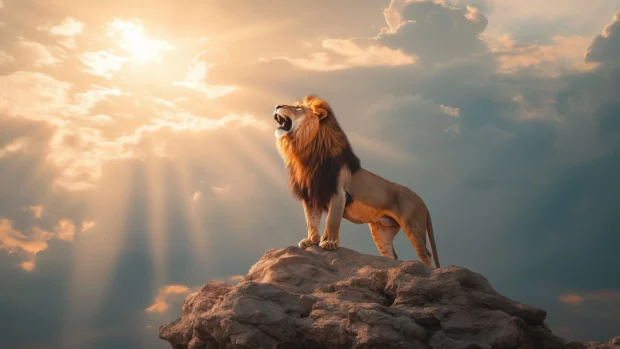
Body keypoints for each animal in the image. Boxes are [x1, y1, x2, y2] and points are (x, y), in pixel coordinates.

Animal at [274, 95, 438, 266]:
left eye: (297, 107)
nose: (277, 105)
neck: (306, 151)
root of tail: (423, 202)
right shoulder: (311, 194)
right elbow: (311, 221)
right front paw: (311, 241)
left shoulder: (338, 192)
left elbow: (331, 220)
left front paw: (329, 243)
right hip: (382, 231)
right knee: (392, 255)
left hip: (413, 226)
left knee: (426, 255)